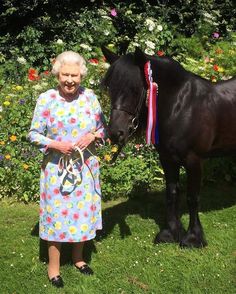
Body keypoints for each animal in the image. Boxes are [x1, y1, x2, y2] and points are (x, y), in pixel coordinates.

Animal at [101, 46, 236, 248]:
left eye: (135, 88)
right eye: (110, 87)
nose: (115, 133)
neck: (182, 107)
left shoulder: (194, 160)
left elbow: (192, 198)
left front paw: (193, 238)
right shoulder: (167, 158)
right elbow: (172, 193)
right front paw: (170, 233)